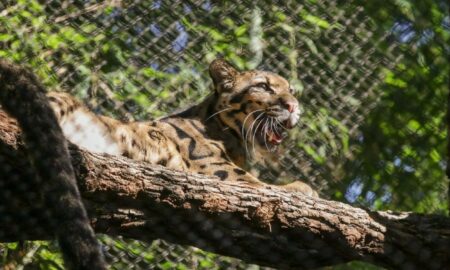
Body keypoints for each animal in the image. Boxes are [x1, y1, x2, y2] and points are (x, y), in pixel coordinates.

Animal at [48, 58, 316, 196]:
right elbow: (264, 185)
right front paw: (302, 187)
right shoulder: (219, 170)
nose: (293, 105)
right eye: (263, 86)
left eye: (291, 91)